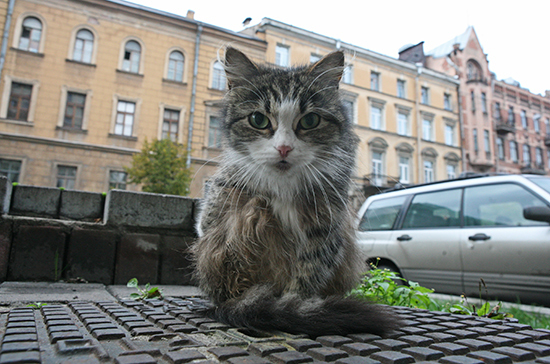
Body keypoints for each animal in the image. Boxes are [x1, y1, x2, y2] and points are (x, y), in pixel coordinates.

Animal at [193, 47, 396, 336]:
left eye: (310, 120)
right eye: (258, 119)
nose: (284, 148)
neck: (284, 186)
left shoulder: (327, 226)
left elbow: (306, 278)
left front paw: (296, 307)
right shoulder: (228, 189)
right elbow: (208, 215)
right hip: (251, 213)